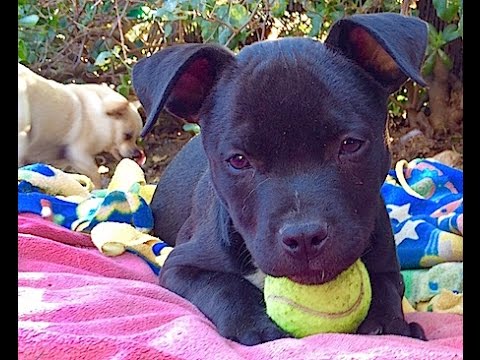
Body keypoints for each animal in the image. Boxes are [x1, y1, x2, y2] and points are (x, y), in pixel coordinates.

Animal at [132, 12, 428, 344]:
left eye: (350, 144)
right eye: (238, 160)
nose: (304, 237)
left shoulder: (385, 260)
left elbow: (388, 287)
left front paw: (389, 323)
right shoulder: (179, 266)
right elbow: (225, 287)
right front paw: (257, 327)